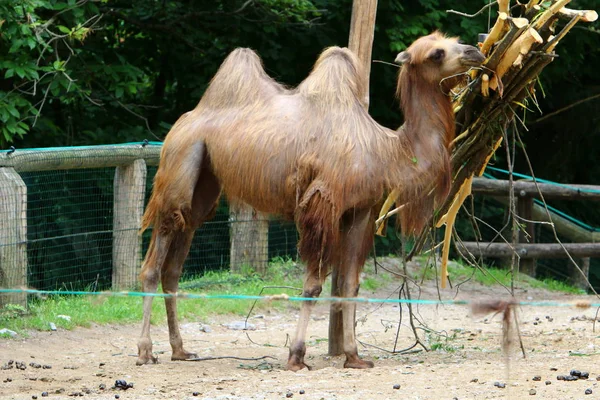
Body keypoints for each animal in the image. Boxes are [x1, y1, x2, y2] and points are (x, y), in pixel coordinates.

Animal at [135, 32, 482, 372]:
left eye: (453, 41)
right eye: (436, 53)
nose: (474, 51)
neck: (386, 151)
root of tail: (183, 122)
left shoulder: (360, 211)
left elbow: (350, 285)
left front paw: (354, 356)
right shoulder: (322, 207)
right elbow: (313, 286)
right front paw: (296, 356)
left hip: (204, 186)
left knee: (175, 263)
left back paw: (180, 350)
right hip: (180, 162)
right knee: (154, 260)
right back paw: (145, 352)